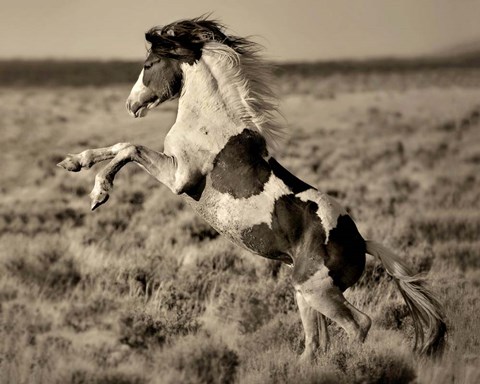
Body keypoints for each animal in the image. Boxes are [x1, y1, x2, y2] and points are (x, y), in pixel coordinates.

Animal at [59, 15, 446, 360]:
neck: (210, 120)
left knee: (359, 325)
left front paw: (99, 193)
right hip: (304, 293)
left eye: (149, 63)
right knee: (315, 345)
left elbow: (129, 148)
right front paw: (73, 162)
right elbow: (118, 147)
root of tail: (361, 242)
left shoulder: (179, 177)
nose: (131, 104)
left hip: (318, 291)